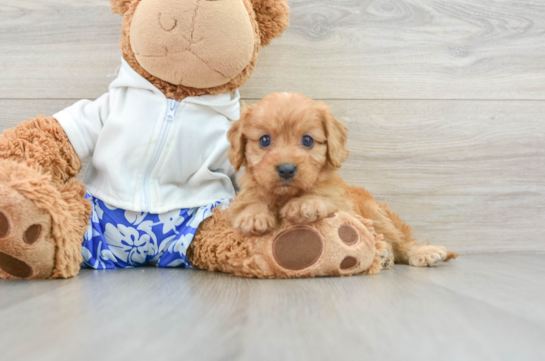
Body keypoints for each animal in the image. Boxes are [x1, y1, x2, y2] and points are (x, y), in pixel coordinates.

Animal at [226, 93, 460, 268]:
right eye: (264, 140)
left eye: (307, 140)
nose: (286, 169)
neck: (286, 195)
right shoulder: (243, 196)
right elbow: (249, 201)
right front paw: (253, 215)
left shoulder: (342, 203)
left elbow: (323, 196)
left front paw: (303, 204)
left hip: (377, 214)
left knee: (402, 242)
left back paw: (421, 253)